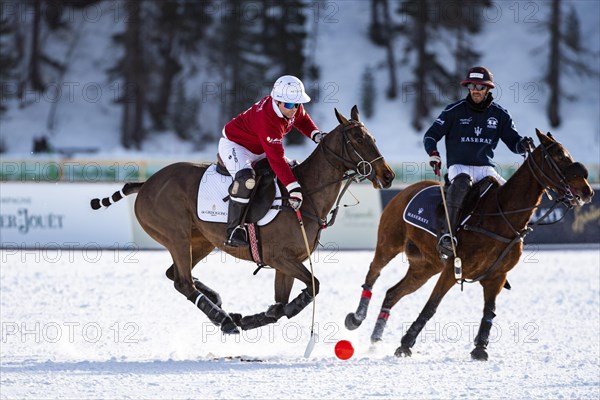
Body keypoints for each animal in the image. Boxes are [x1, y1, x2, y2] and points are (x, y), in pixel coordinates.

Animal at [91, 105, 396, 334]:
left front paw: (252, 318)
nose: (388, 175)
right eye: (358, 140)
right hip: (175, 235)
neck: (307, 195)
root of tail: (145, 184)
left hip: (201, 240)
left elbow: (281, 305)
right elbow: (313, 285)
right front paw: (247, 318)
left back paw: (218, 302)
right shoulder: (280, 257)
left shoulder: (288, 262)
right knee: (183, 282)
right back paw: (223, 319)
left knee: (174, 273)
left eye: (373, 137)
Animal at [344, 130, 592, 360]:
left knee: (392, 293)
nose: (587, 191)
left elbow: (489, 311)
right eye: (558, 156)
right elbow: (431, 306)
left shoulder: (496, 276)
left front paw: (480, 348)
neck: (502, 217)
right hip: (390, 243)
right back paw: (356, 318)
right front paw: (405, 345)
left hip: (425, 266)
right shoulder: (453, 269)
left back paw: (375, 339)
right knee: (374, 272)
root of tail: (406, 189)